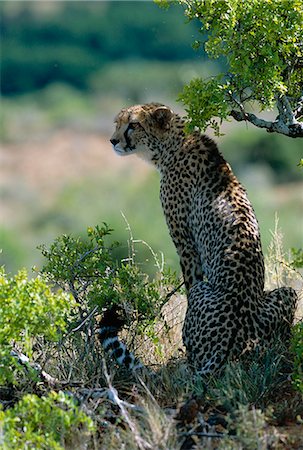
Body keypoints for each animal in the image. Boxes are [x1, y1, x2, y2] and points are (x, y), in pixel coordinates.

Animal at [99, 103, 296, 374]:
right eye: (117, 123)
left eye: (133, 125)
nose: (113, 140)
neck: (173, 144)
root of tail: (236, 341)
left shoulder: (186, 245)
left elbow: (190, 283)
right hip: (288, 294)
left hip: (205, 294)